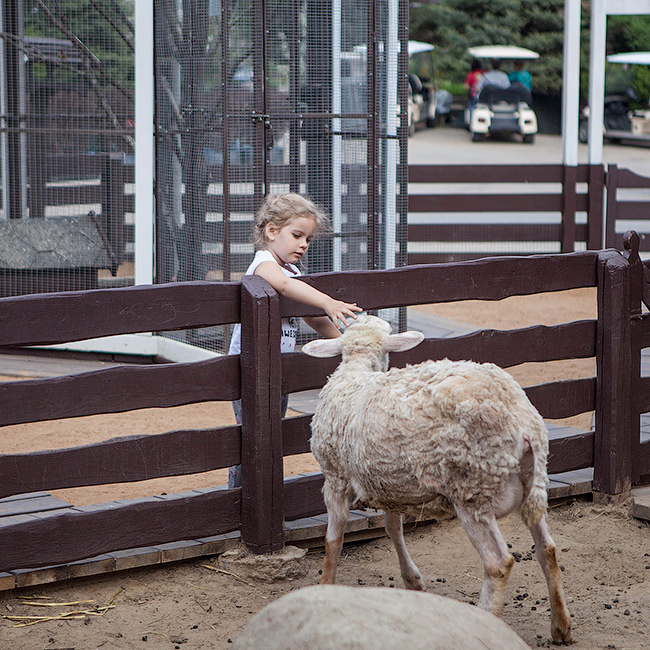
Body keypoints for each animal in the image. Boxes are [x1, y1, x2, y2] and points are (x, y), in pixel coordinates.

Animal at [302, 314, 572, 645]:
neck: (356, 372)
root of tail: (525, 423)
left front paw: (326, 584)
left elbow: (334, 540)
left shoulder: (335, 478)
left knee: (498, 563)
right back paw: (560, 626)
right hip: (529, 484)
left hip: (472, 489)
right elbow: (393, 529)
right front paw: (413, 580)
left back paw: (485, 618)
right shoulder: (389, 482)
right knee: (547, 549)